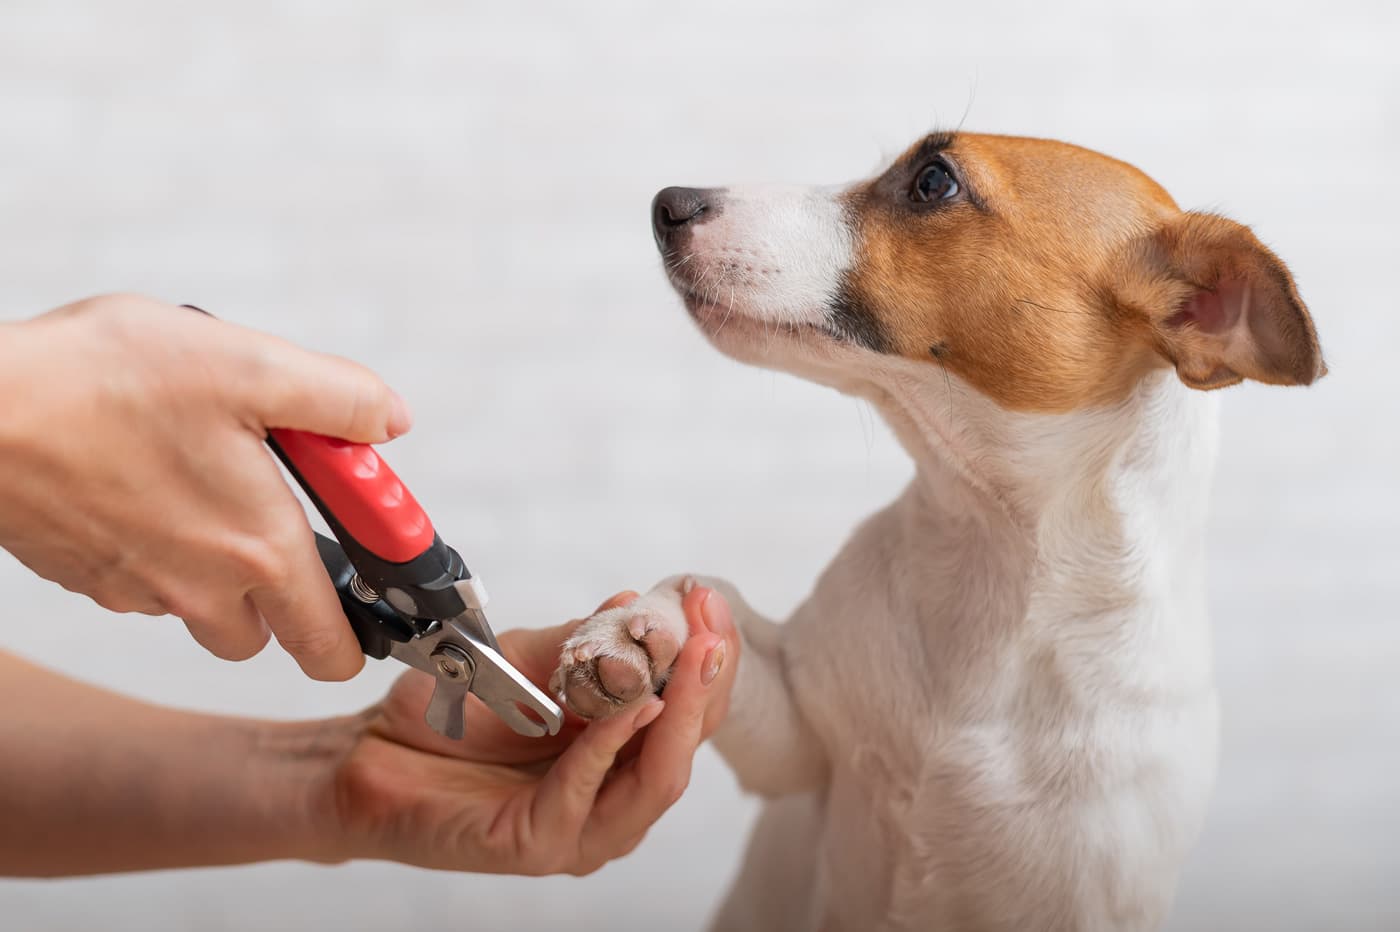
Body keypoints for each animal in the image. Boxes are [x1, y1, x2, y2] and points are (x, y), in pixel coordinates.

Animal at [546, 130, 1321, 929]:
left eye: (933, 182)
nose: (668, 204)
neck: (994, 552)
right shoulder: (795, 745)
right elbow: (706, 592)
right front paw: (639, 631)